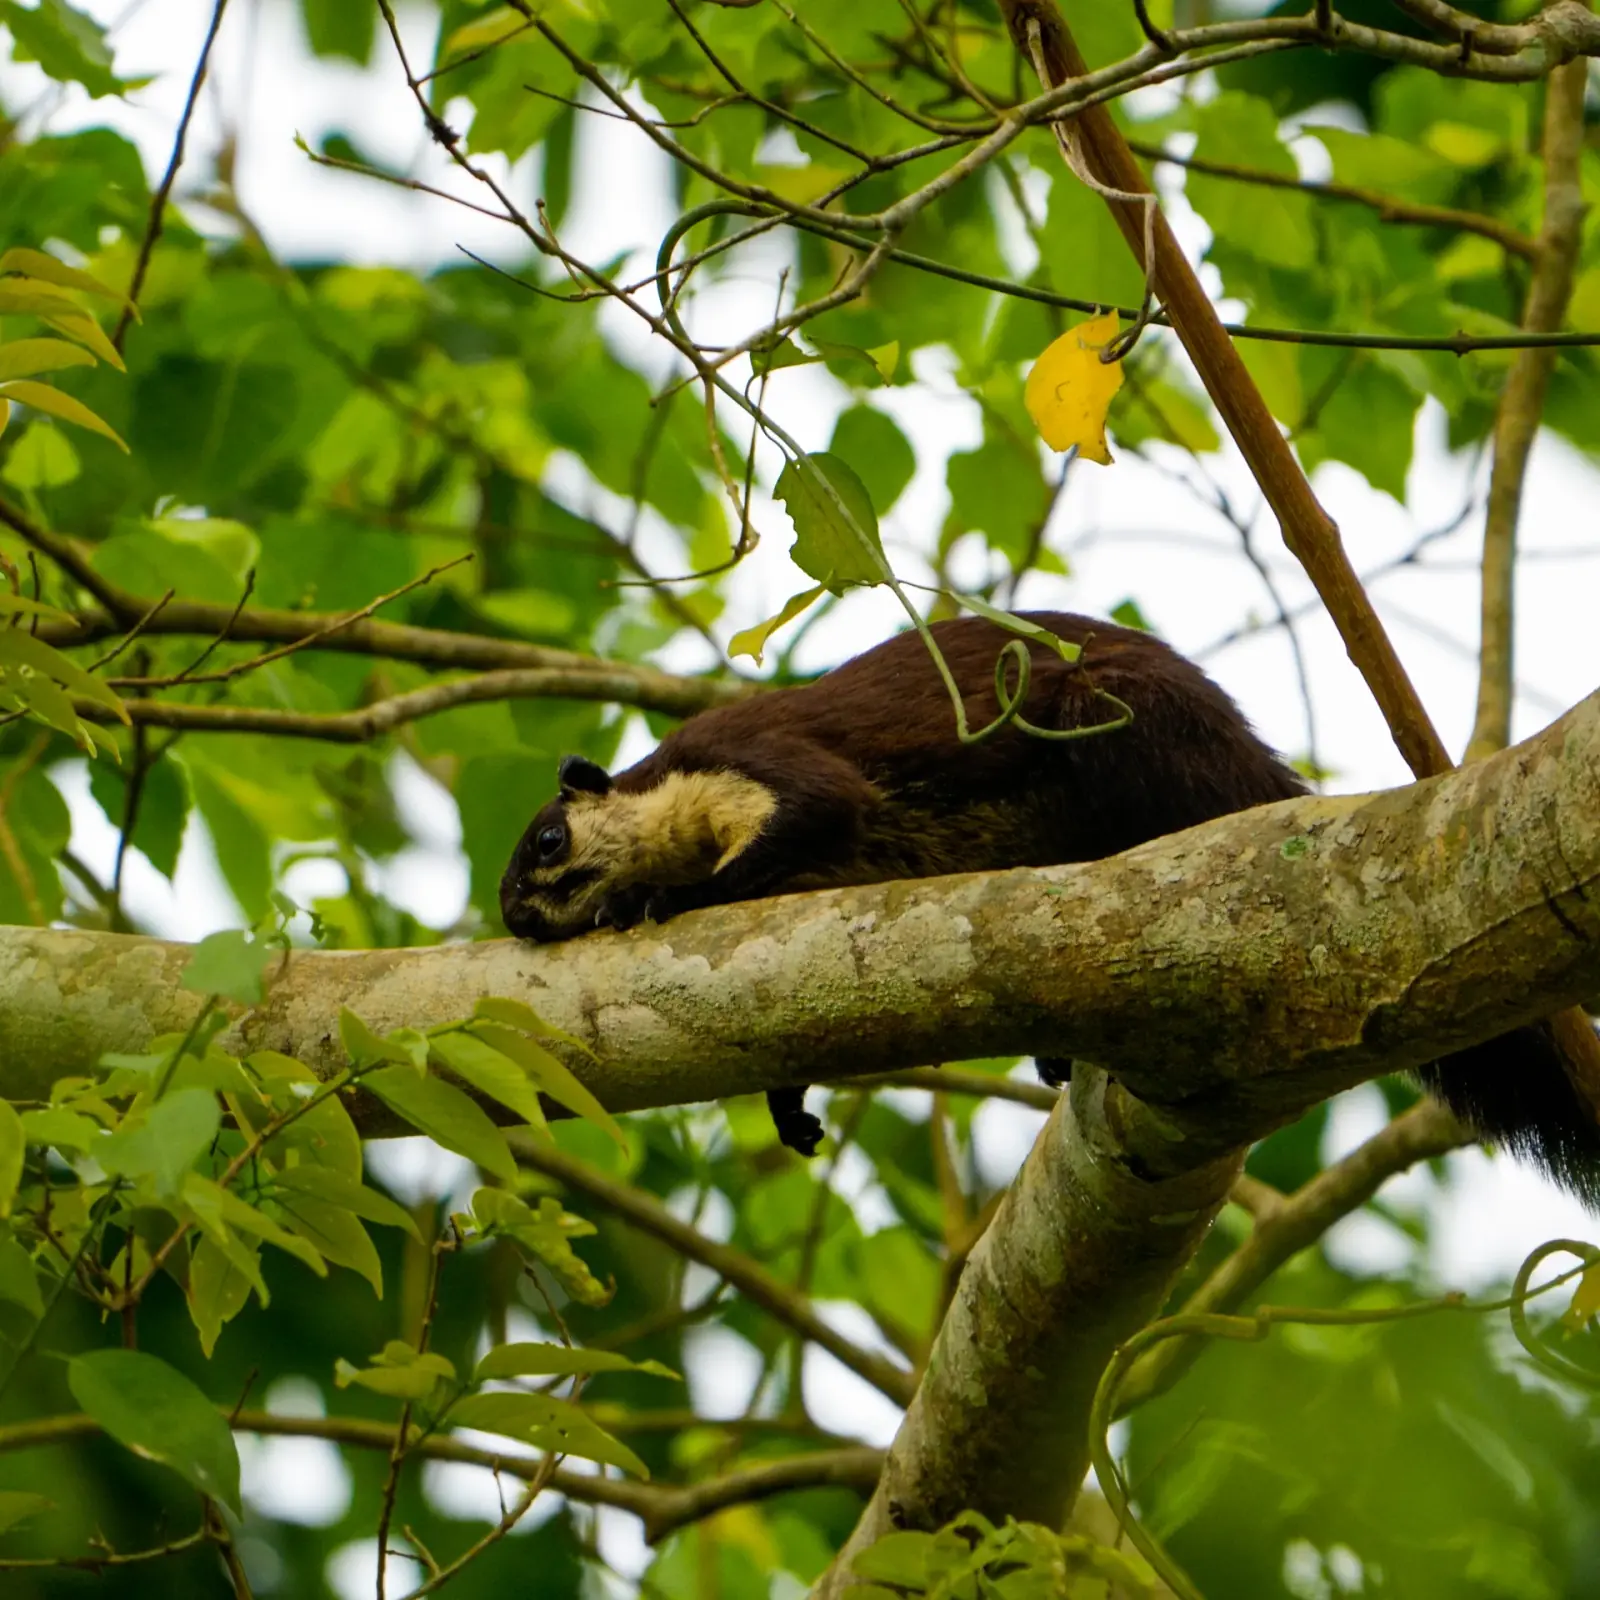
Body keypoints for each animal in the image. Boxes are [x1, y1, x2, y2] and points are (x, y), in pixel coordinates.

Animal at [501, 611, 1600, 1197]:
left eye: (546, 841)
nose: (515, 915)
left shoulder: (772, 766)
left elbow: (795, 820)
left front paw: (657, 896)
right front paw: (788, 1107)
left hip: (1107, 726)